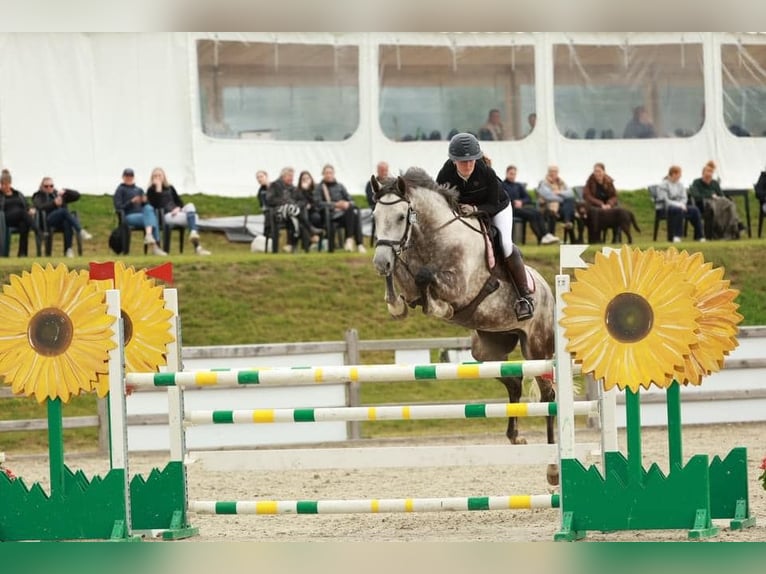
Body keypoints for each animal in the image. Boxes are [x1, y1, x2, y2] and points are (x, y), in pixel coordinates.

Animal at [372, 168, 560, 486]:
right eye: (373, 216)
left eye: (400, 217)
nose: (379, 261)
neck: (432, 238)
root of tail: (548, 289)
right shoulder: (408, 281)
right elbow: (406, 284)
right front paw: (396, 302)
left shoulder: (459, 286)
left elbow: (428, 278)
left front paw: (440, 307)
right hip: (486, 350)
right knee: (514, 381)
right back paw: (515, 436)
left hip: (537, 348)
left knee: (548, 396)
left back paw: (553, 470)